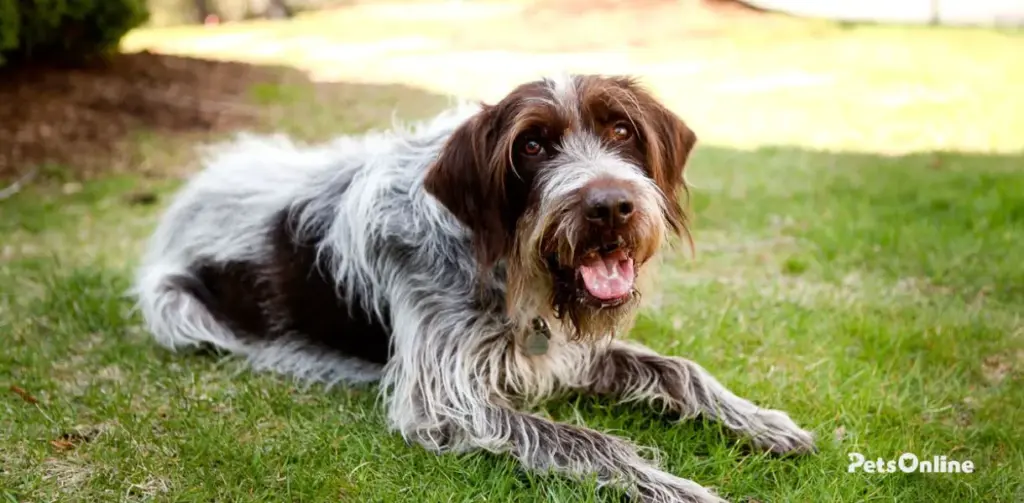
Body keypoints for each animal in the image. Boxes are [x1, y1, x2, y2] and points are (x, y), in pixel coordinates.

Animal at [134, 72, 815, 501]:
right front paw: (680, 489)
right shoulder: (446, 399)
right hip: (176, 309)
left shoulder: (562, 351)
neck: (509, 273)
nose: (610, 207)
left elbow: (678, 369)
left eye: (622, 132)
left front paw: (763, 422)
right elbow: (586, 442)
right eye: (532, 145)